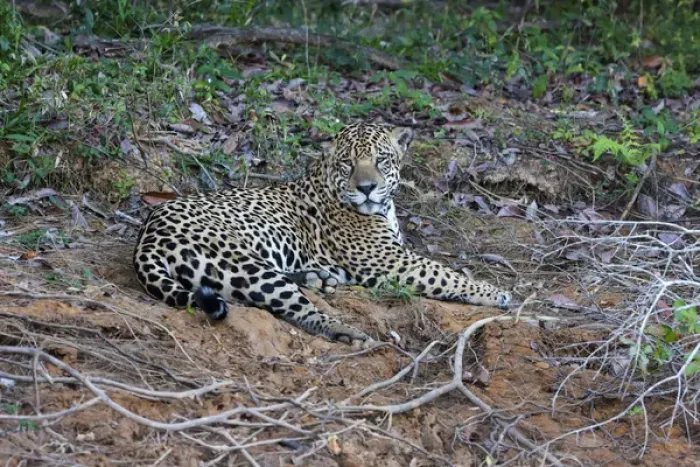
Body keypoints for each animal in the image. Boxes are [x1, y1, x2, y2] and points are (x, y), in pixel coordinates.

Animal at [133, 122, 512, 344]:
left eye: (382, 159)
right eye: (348, 163)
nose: (366, 188)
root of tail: (148, 232)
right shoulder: (390, 260)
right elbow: (445, 273)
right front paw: (495, 292)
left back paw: (319, 278)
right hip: (239, 260)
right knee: (295, 308)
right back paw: (347, 331)